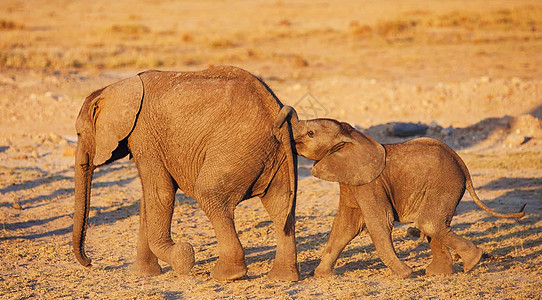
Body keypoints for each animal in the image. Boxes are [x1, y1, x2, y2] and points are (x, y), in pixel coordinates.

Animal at [73, 65, 300, 282]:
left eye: (78, 133)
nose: (89, 262)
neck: (115, 88)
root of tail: (275, 113)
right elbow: (148, 198)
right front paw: (143, 273)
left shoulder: (144, 135)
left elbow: (160, 193)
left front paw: (183, 258)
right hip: (276, 154)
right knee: (280, 206)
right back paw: (282, 278)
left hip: (239, 148)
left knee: (209, 194)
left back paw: (226, 276)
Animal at [276, 106, 528, 278]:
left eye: (310, 133)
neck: (352, 137)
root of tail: (461, 163)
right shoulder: (351, 181)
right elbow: (345, 226)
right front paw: (322, 275)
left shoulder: (370, 183)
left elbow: (379, 222)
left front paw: (405, 274)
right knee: (431, 225)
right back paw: (438, 274)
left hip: (446, 183)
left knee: (429, 224)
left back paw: (471, 263)